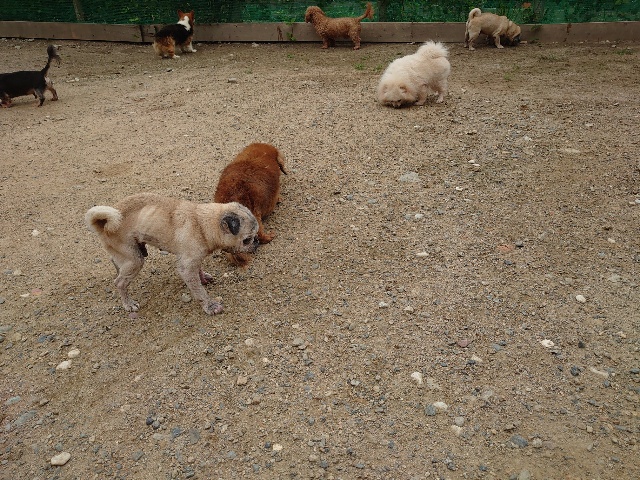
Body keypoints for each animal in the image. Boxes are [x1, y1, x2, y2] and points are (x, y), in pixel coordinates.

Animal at [85, 193, 259, 315]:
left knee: (116, 263)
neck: (201, 224)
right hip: (135, 260)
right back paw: (128, 303)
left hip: (129, 253)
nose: (257, 242)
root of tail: (103, 223)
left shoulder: (195, 259)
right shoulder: (187, 266)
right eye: (246, 240)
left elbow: (198, 271)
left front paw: (203, 278)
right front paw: (210, 305)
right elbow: (199, 290)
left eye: (255, 236)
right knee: (120, 282)